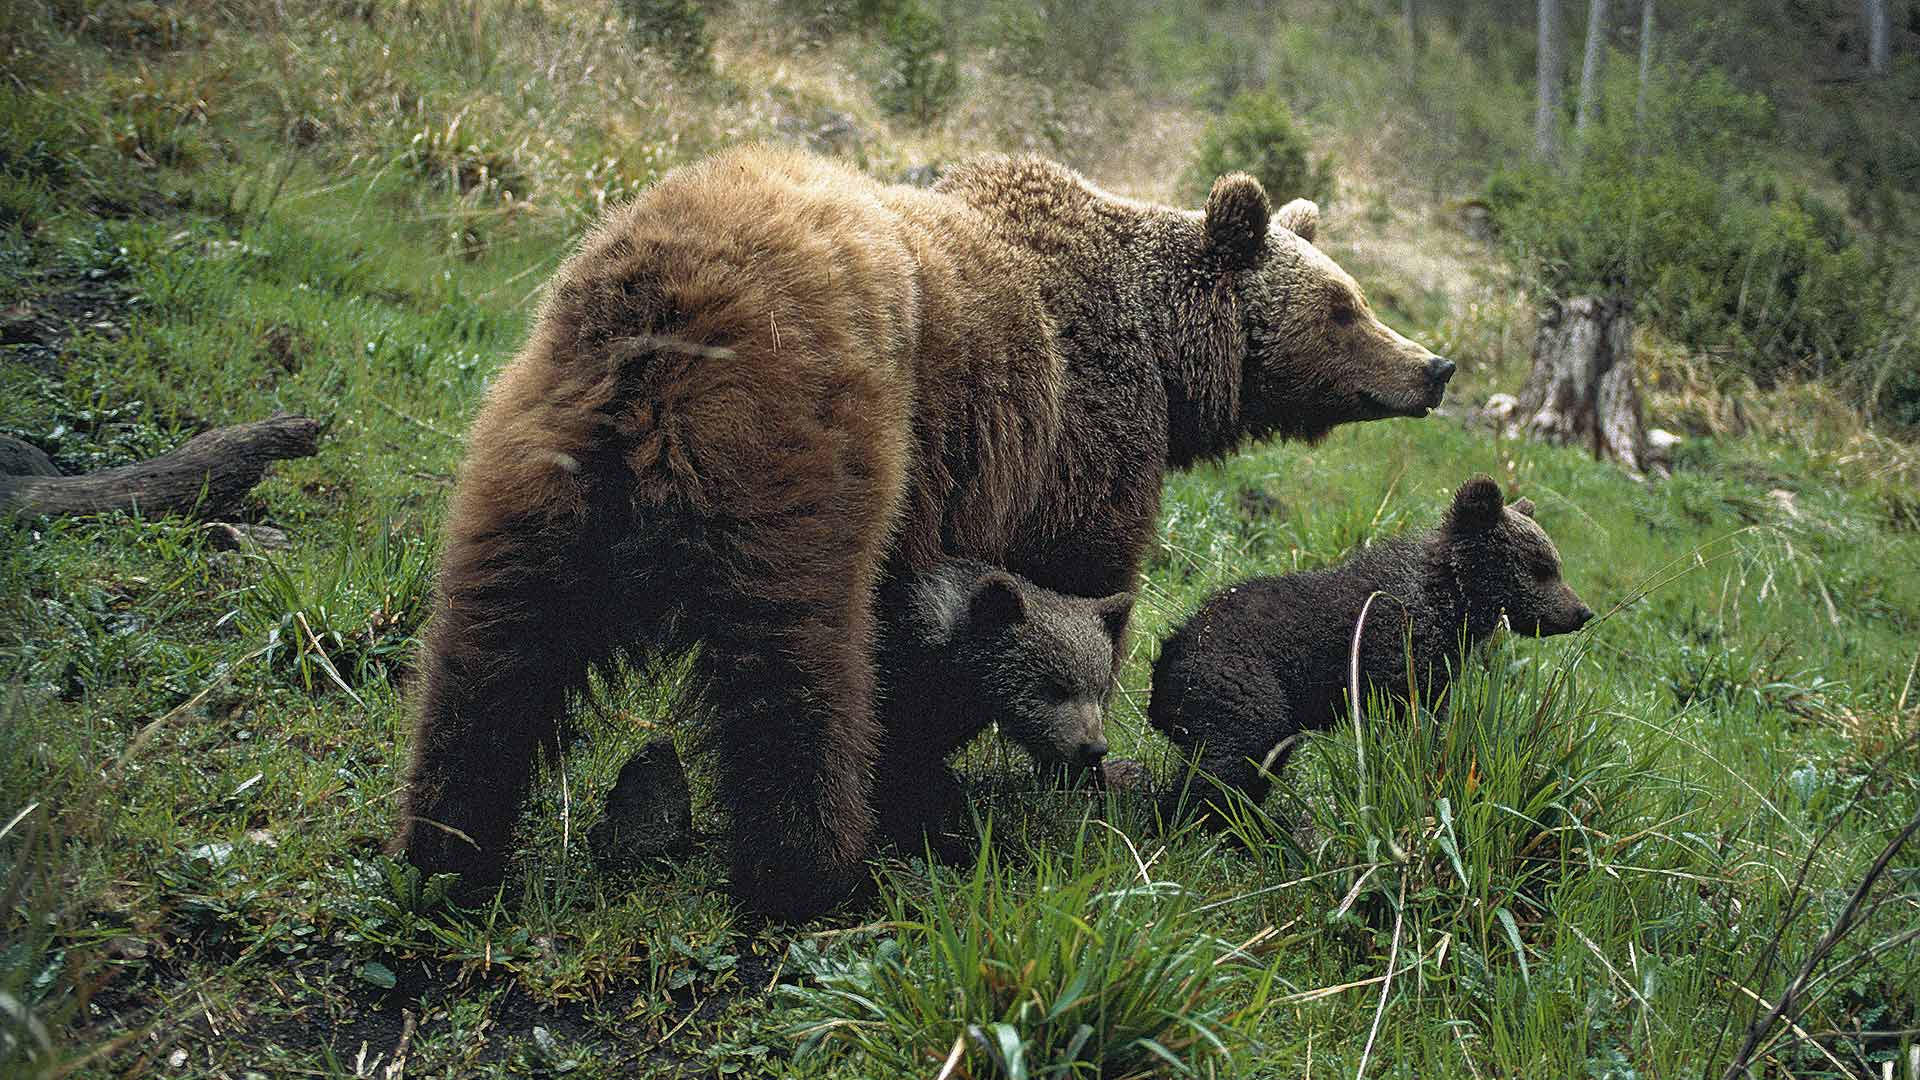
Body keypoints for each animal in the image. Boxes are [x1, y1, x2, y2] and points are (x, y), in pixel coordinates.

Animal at [1144, 472, 1582, 814]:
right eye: (1541, 567)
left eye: (1555, 564)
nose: (1582, 611)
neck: (1451, 605)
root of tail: (1167, 659)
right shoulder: (1393, 654)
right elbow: (1401, 727)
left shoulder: (1439, 670)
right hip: (1243, 685)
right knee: (1227, 762)